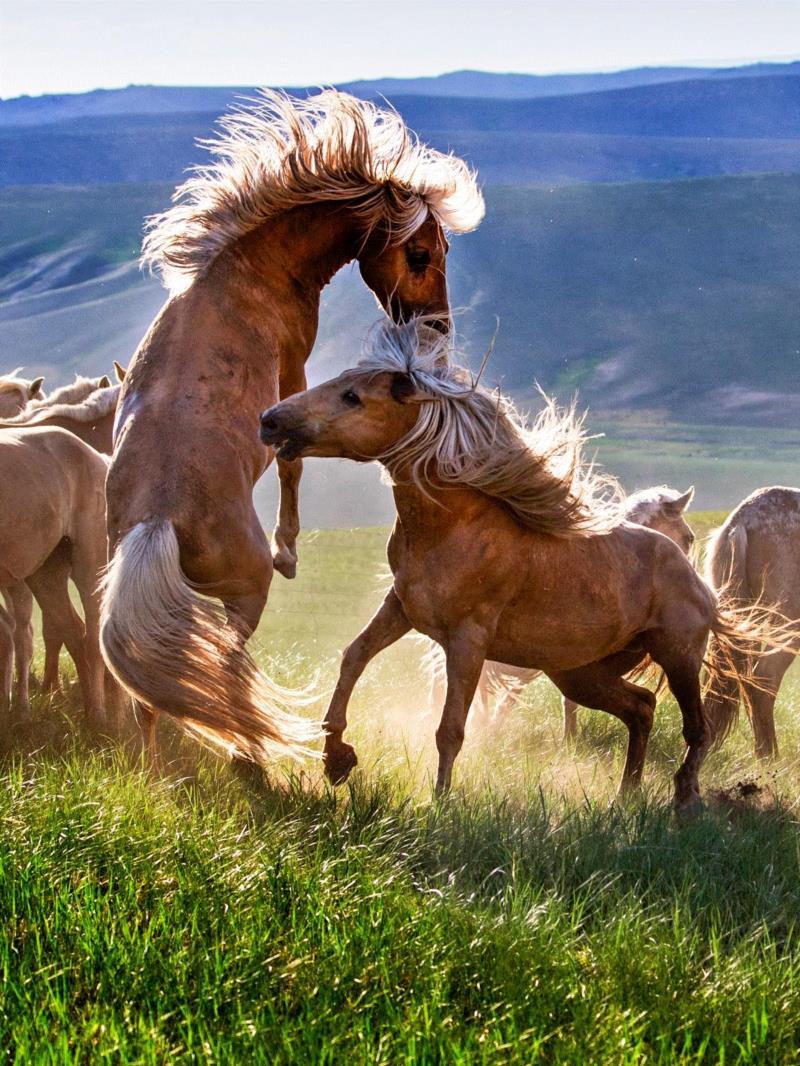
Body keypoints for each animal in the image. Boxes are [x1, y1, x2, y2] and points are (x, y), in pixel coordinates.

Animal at [101, 90, 484, 762]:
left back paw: (157, 768)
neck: (244, 269)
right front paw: (289, 550)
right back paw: (255, 757)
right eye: (420, 253)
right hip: (241, 599)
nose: (437, 327)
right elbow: (291, 456)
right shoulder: (294, 369)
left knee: (154, 695)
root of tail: (155, 524)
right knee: (226, 674)